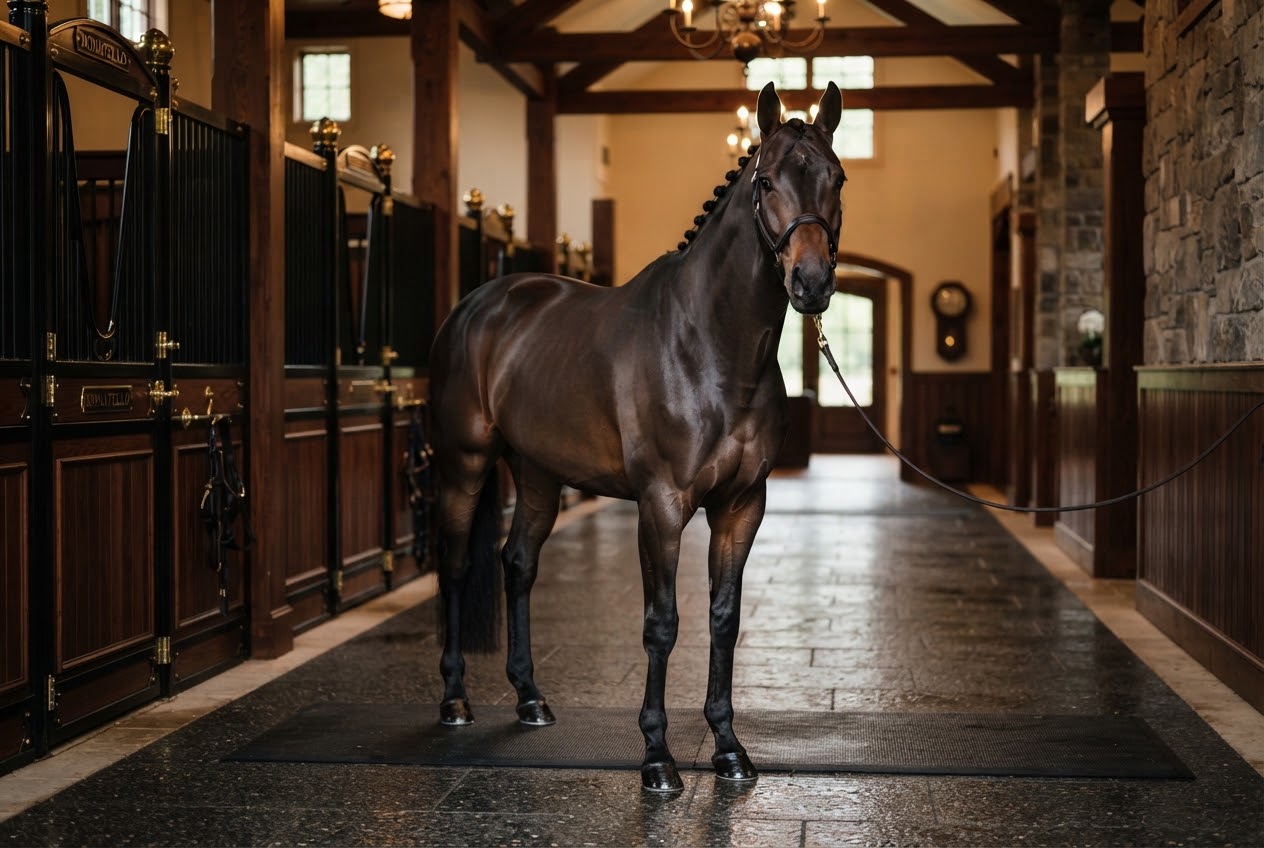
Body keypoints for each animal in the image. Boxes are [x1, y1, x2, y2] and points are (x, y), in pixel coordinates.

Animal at [428, 81, 846, 793]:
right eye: (765, 181)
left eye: (838, 178)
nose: (811, 282)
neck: (711, 346)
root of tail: (476, 307)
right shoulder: (662, 506)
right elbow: (662, 624)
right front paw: (656, 757)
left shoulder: (742, 506)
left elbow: (724, 620)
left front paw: (728, 749)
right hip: (466, 463)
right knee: (456, 567)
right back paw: (455, 699)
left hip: (537, 474)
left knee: (518, 564)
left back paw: (530, 699)